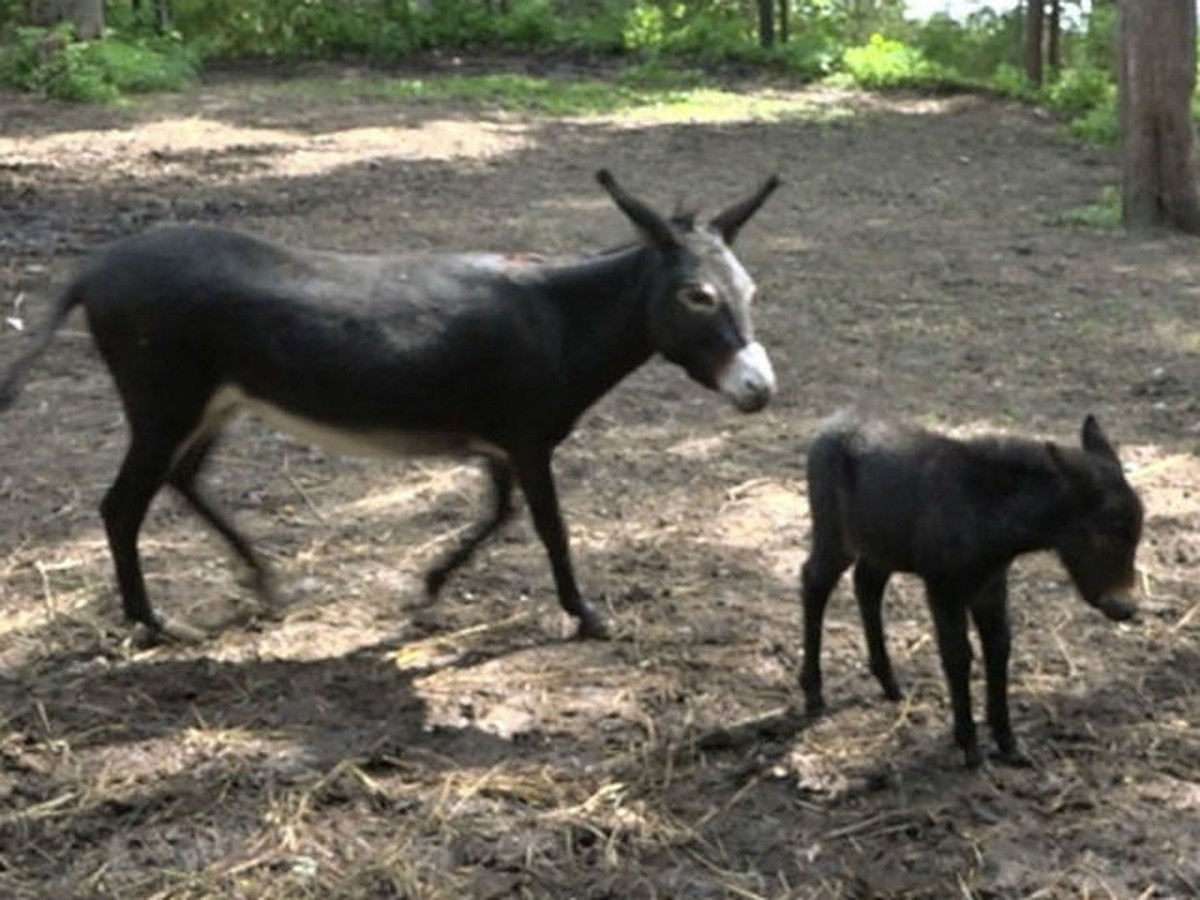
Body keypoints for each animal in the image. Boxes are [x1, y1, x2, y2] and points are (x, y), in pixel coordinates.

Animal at [796, 410, 1142, 768]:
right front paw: (969, 745)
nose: (1125, 607)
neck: (988, 517)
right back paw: (813, 692)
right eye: (1103, 534)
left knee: (867, 584)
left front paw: (1008, 742)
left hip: (881, 545)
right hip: (835, 534)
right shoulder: (943, 586)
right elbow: (957, 655)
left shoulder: (990, 584)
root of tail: (831, 424)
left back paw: (888, 683)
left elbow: (999, 647)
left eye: (1137, 535)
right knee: (814, 581)